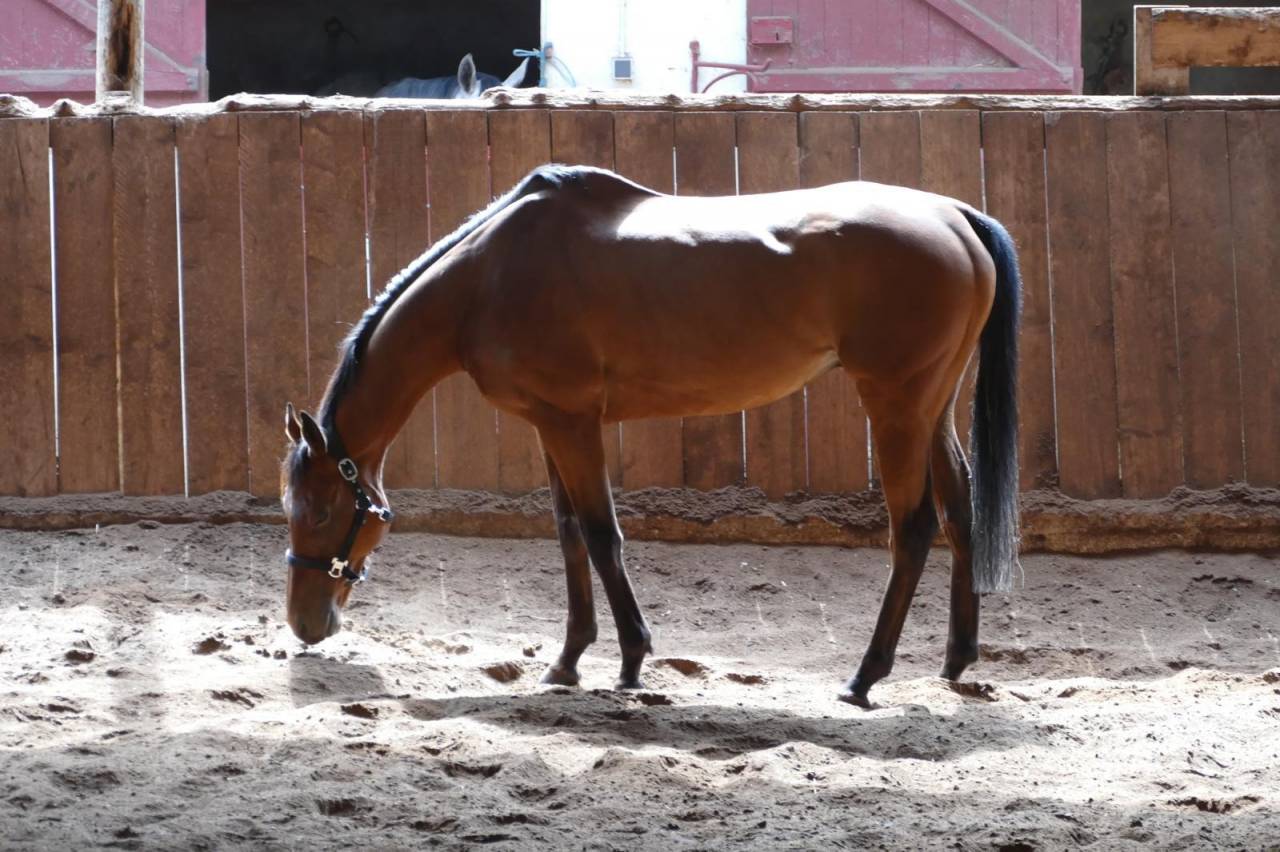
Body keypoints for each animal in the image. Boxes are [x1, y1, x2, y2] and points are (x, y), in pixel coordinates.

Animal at [281, 164, 1022, 708]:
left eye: (316, 510)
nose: (304, 624)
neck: (488, 276)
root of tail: (955, 215)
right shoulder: (551, 423)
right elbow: (569, 533)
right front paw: (568, 660)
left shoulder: (572, 422)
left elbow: (601, 534)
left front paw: (631, 660)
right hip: (932, 407)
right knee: (959, 511)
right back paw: (956, 660)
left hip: (895, 404)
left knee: (913, 529)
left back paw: (865, 677)